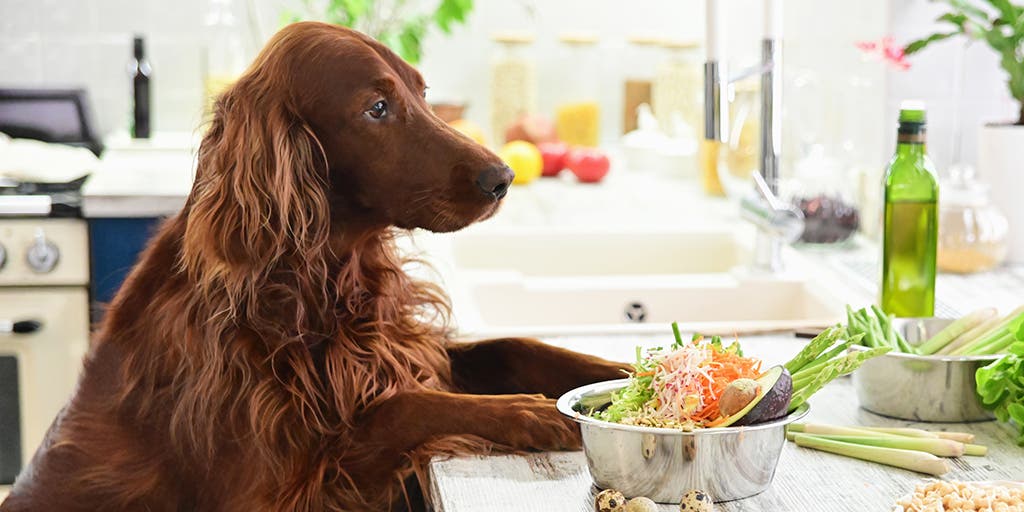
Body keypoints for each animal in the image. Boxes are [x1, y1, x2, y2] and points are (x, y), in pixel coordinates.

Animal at [0, 22, 626, 509]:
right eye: (377, 108)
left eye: (422, 93)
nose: (503, 178)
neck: (311, 276)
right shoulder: (281, 487)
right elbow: (398, 409)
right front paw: (527, 412)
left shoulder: (402, 350)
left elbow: (514, 345)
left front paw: (620, 368)